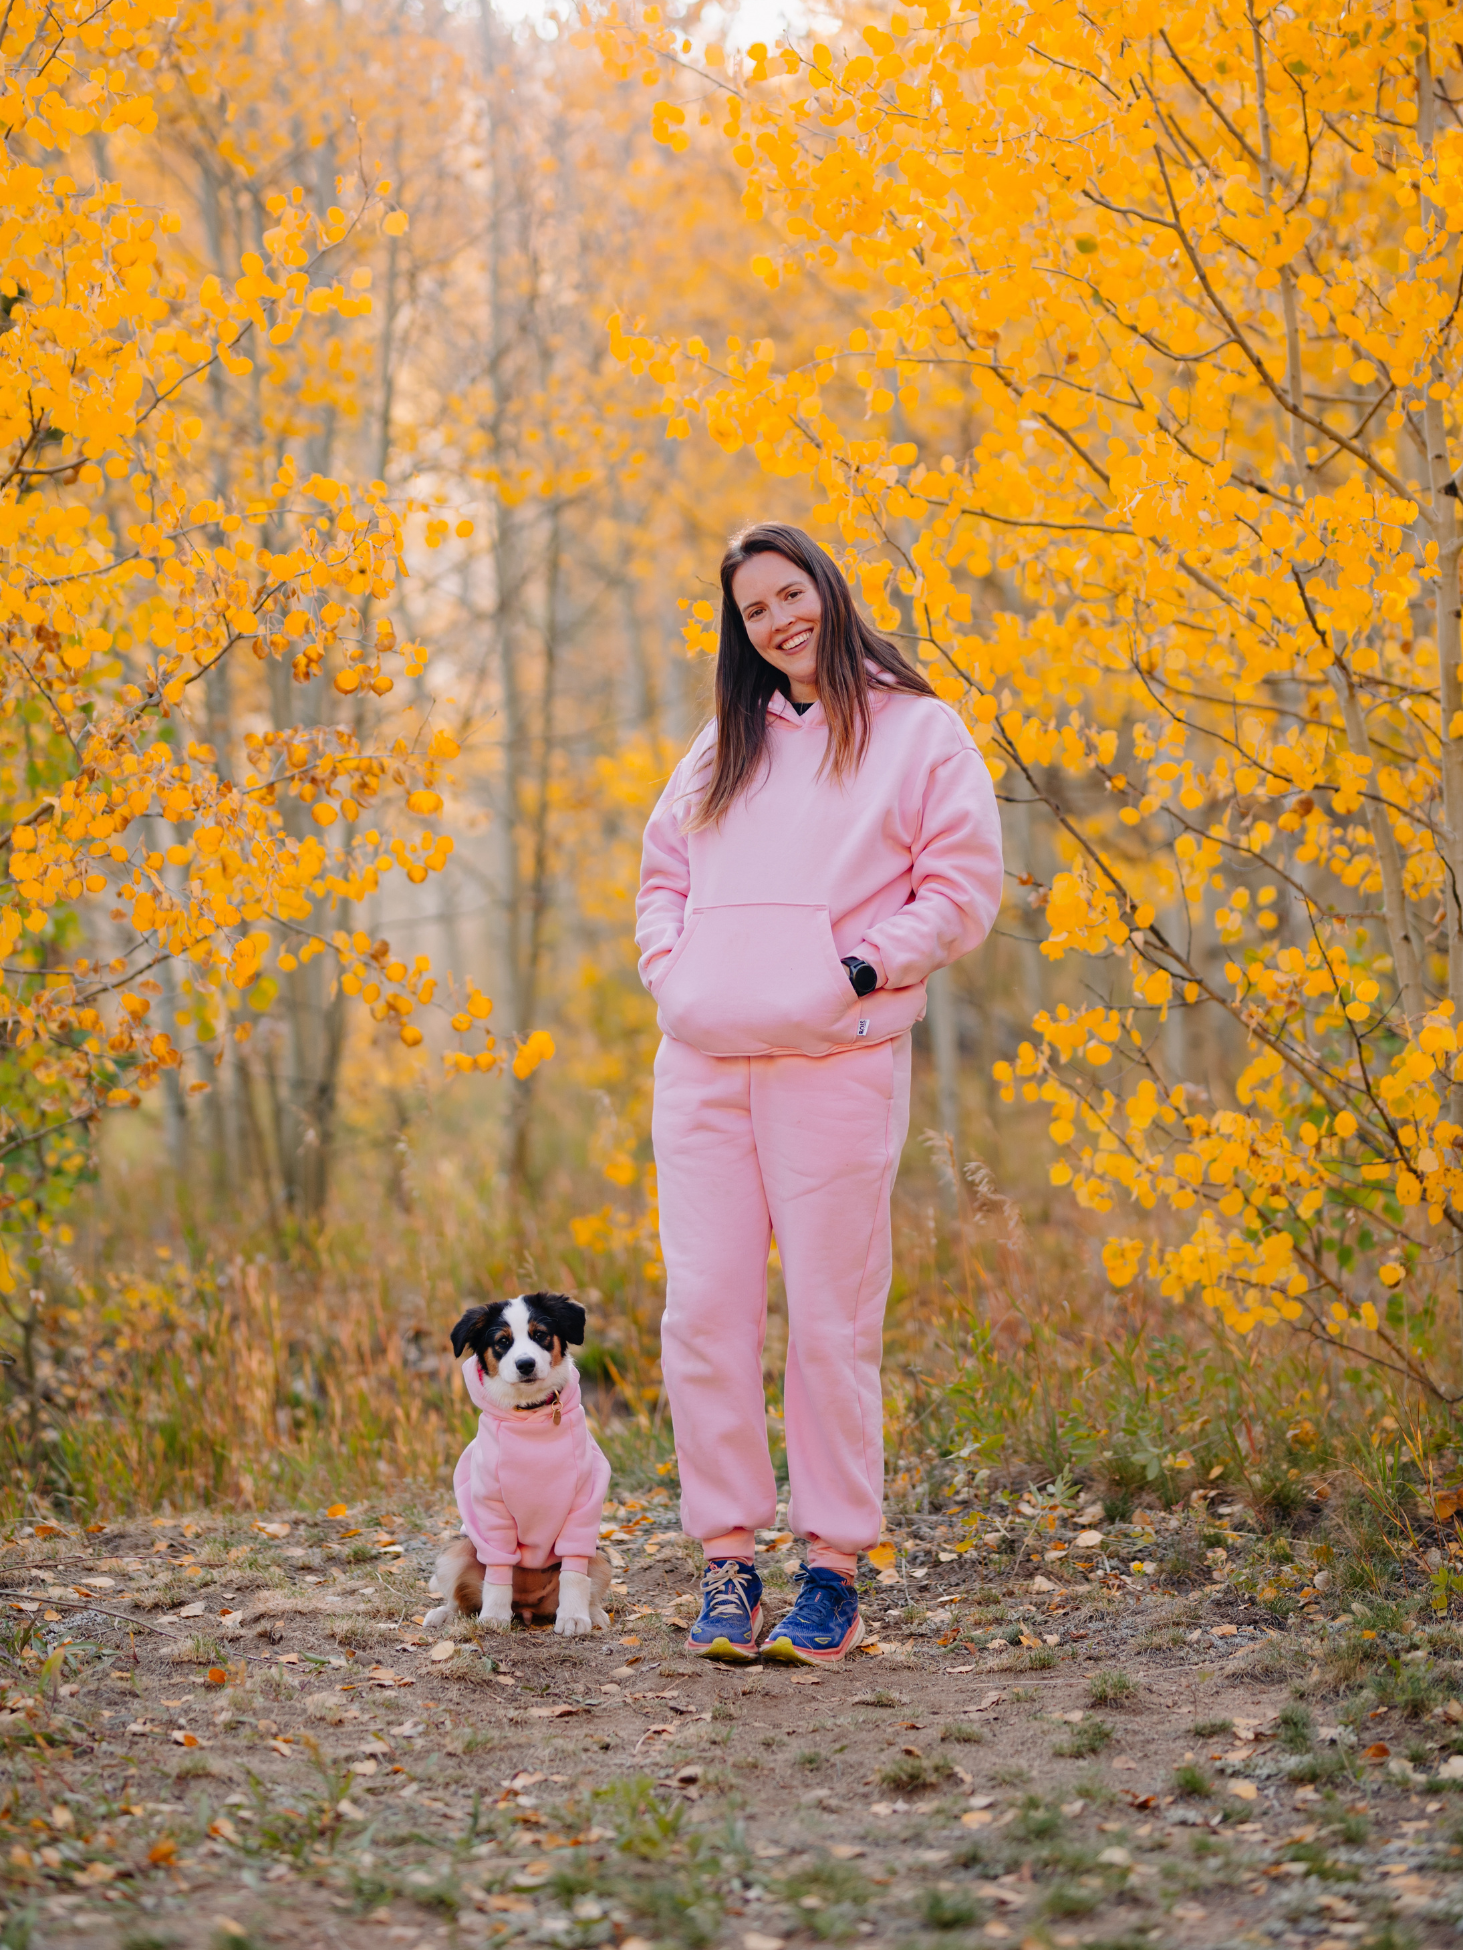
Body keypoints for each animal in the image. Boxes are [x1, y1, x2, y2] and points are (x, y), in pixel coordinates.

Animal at [423, 1294, 612, 1645]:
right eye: (502, 1342)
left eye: (540, 1335)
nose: (525, 1364)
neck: (530, 1415)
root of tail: (525, 1606)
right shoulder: (491, 1507)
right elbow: (498, 1572)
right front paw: (494, 1617)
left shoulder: (584, 1503)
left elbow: (574, 1574)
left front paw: (574, 1617)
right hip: (457, 1549)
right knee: (461, 1599)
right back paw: (445, 1614)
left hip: (601, 1555)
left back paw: (592, 1614)